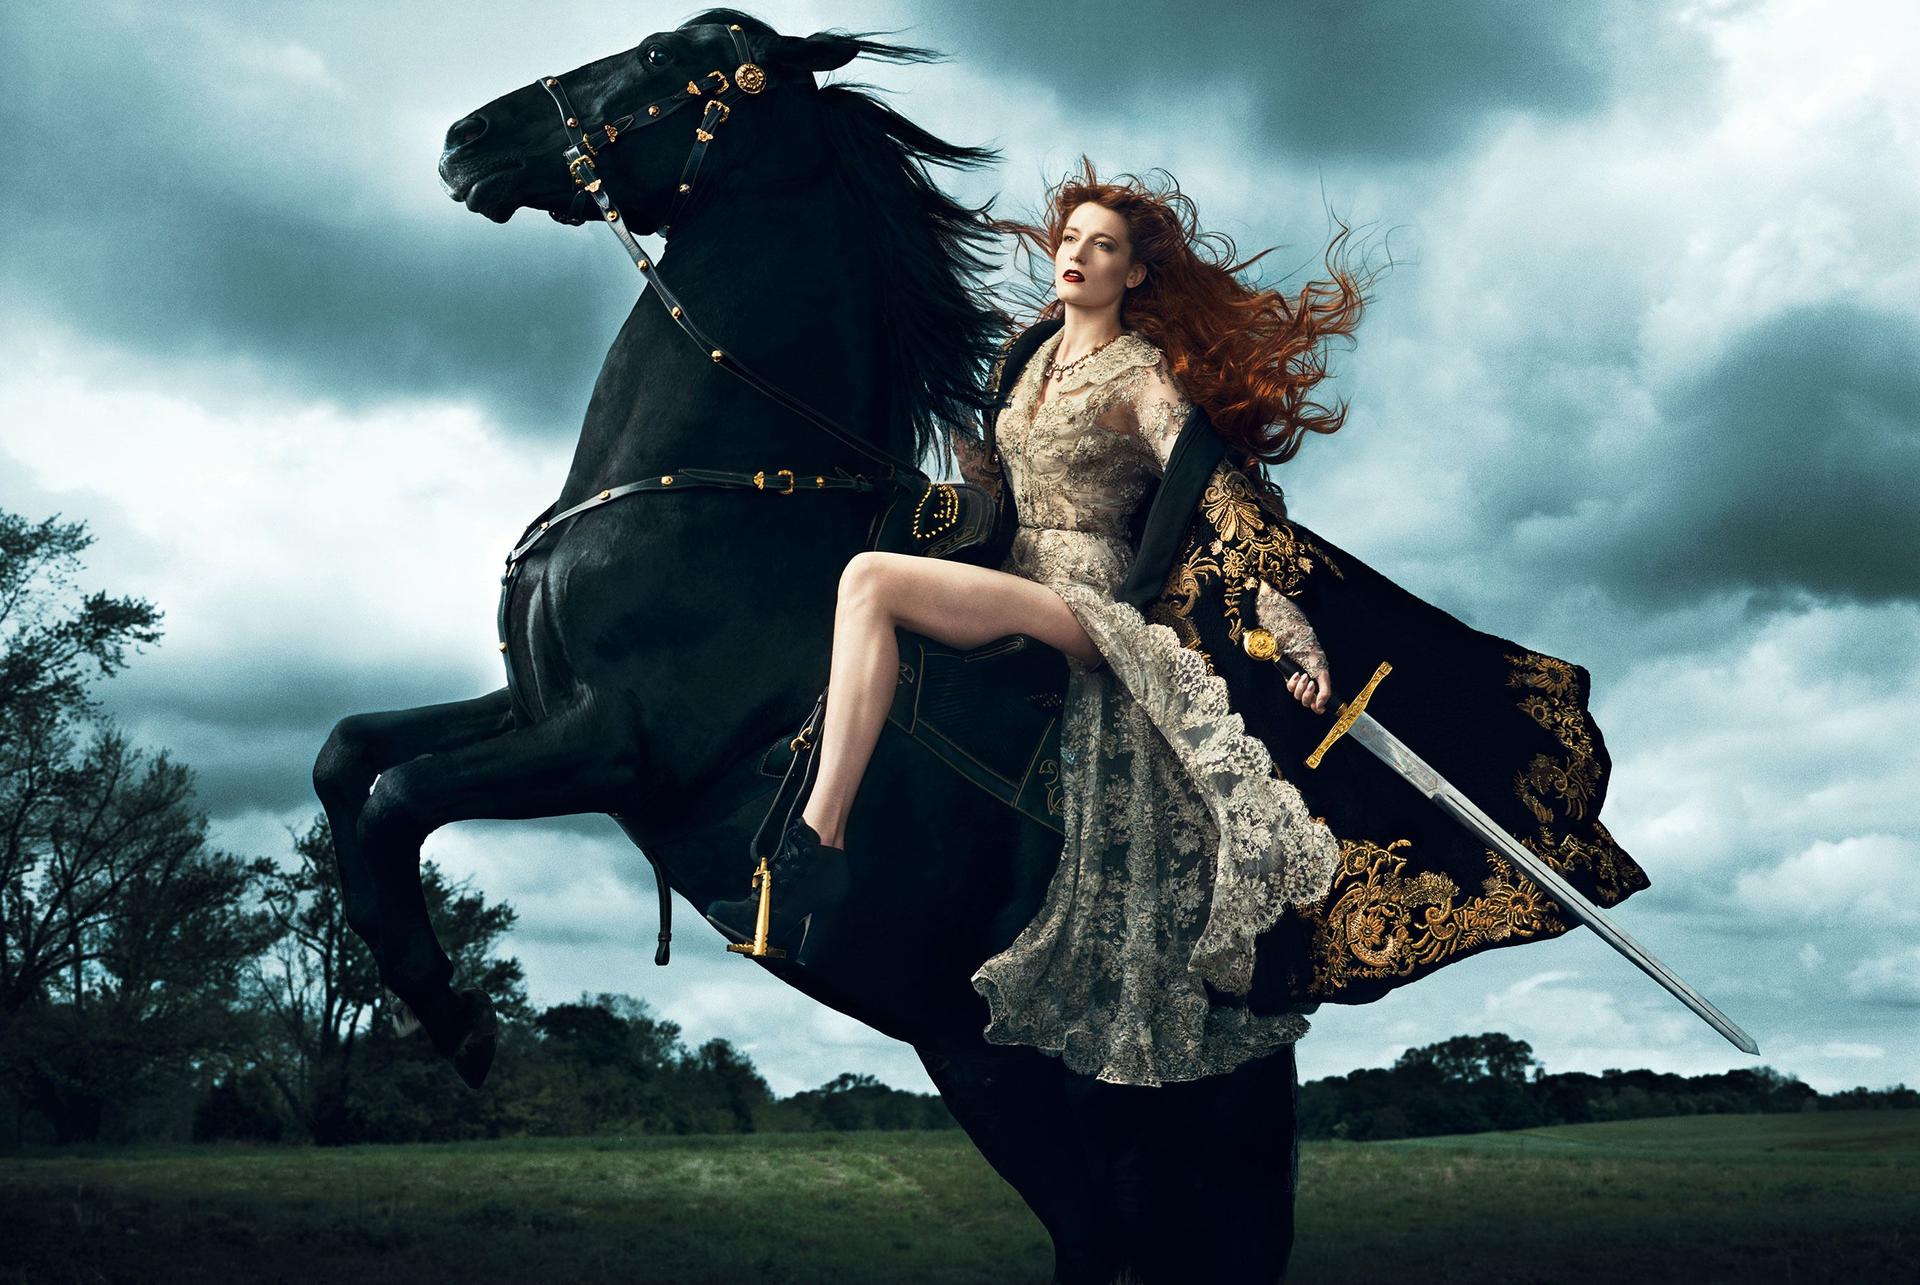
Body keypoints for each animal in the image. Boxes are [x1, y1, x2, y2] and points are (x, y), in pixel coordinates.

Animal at [311, 10, 1301, 1282]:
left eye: (664, 54)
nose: (468, 136)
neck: (718, 495)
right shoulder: (533, 707)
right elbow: (349, 753)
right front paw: (427, 996)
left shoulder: (617, 746)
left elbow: (401, 797)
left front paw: (454, 1017)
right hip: (983, 1071)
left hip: (1088, 1106)